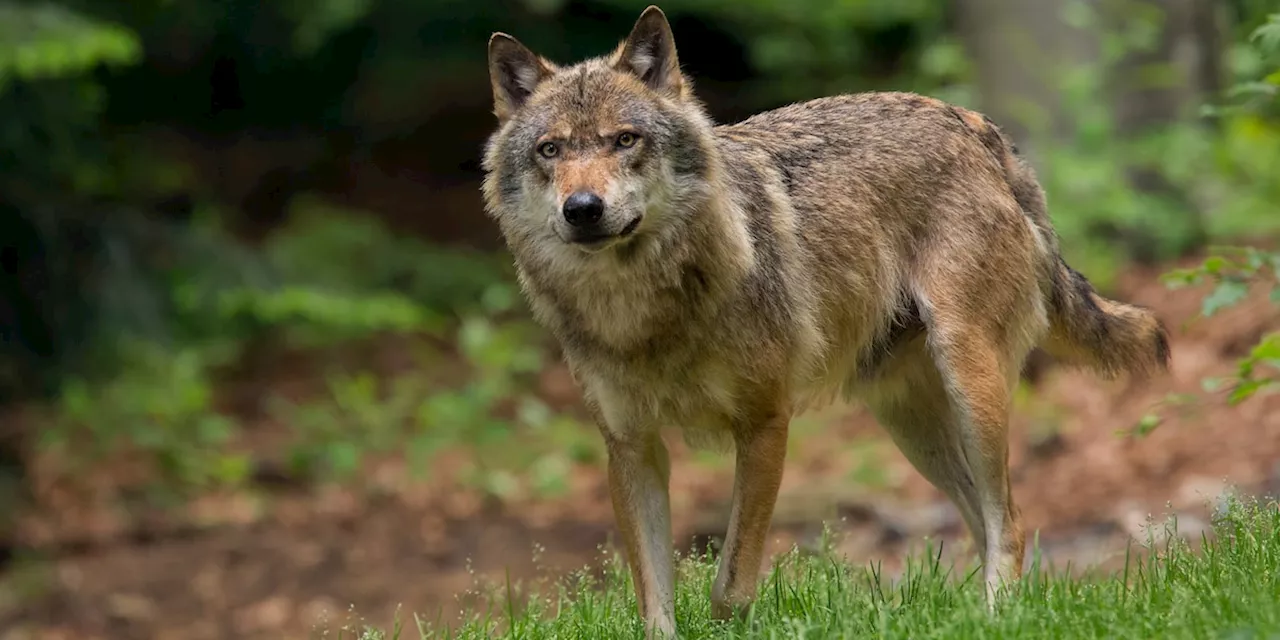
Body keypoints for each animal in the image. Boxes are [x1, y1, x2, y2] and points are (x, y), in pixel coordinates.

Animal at [478, 5, 1172, 634]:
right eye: (550, 150)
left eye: (625, 139)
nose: (582, 209)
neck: (643, 312)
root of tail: (976, 126)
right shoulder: (630, 449)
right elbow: (655, 604)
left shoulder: (764, 426)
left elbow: (731, 587)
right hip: (911, 425)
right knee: (981, 518)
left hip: (969, 386)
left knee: (1013, 522)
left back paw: (1001, 619)